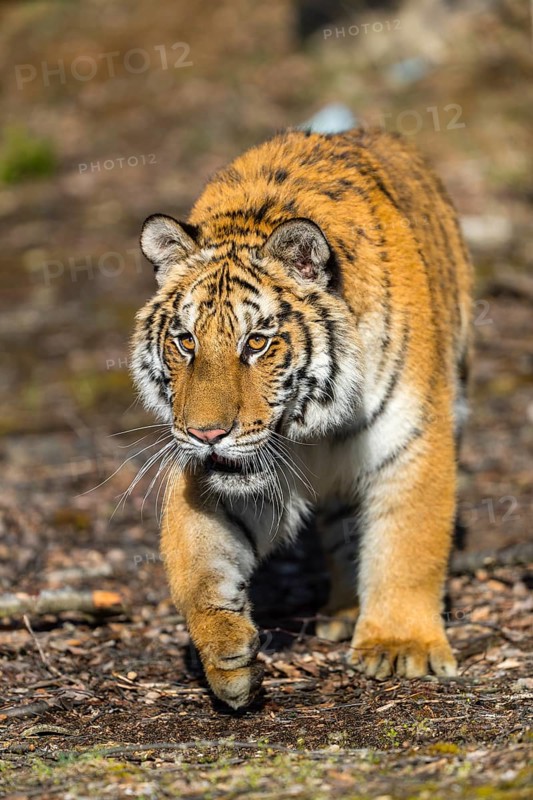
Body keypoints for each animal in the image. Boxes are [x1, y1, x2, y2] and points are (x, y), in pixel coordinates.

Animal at [131, 127, 473, 709]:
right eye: (186, 341)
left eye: (256, 343)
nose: (206, 433)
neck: (308, 425)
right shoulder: (216, 478)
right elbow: (198, 567)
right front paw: (228, 656)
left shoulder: (412, 438)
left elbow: (409, 543)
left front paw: (400, 647)